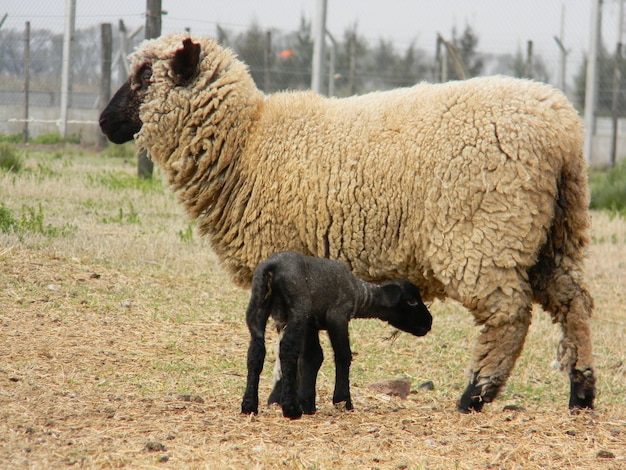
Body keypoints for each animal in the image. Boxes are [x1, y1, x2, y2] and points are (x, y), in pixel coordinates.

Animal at [98, 33, 596, 414]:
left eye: (145, 76)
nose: (104, 122)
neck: (247, 143)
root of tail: (563, 130)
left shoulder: (280, 252)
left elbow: (287, 337)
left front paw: (280, 394)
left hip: (485, 233)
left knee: (508, 316)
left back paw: (475, 394)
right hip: (555, 231)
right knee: (574, 303)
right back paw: (581, 393)